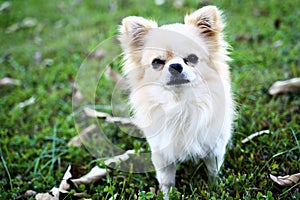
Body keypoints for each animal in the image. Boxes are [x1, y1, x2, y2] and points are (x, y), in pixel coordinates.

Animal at [118, 5, 233, 195]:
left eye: (192, 58)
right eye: (157, 62)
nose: (175, 66)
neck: (180, 103)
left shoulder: (215, 146)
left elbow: (213, 170)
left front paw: (214, 188)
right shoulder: (161, 152)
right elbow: (166, 180)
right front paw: (167, 195)